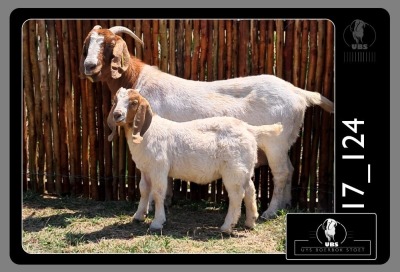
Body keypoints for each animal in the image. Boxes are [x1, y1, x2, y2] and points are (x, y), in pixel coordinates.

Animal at [79, 23, 334, 219]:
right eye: (88, 44)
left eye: (109, 45)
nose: (89, 66)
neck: (138, 80)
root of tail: (298, 92)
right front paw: (166, 201)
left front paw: (151, 207)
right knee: (290, 170)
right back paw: (285, 204)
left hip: (275, 144)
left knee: (281, 173)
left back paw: (270, 211)